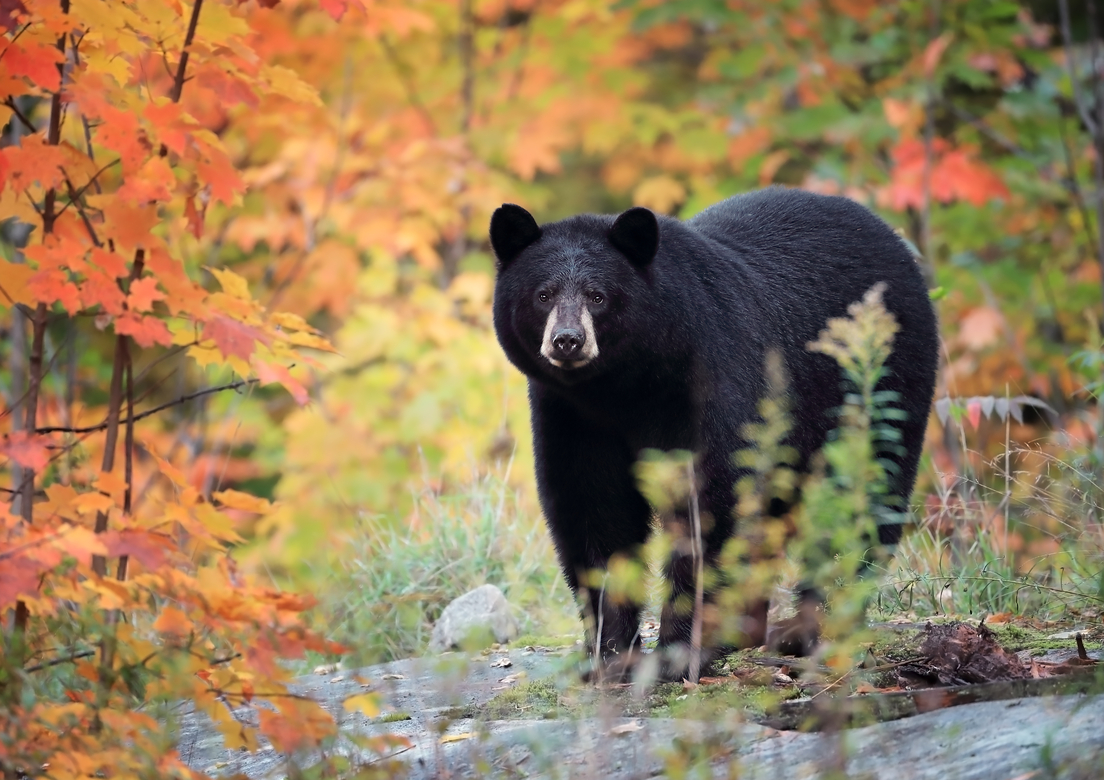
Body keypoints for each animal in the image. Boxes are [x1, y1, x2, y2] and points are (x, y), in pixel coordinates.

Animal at [489, 186, 939, 681]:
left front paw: (680, 650)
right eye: (543, 294)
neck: (625, 385)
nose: (568, 340)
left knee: (862, 494)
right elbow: (593, 509)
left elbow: (714, 501)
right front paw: (609, 654)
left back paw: (815, 626)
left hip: (879, 383)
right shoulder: (571, 415)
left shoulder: (713, 377)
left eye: (598, 295)